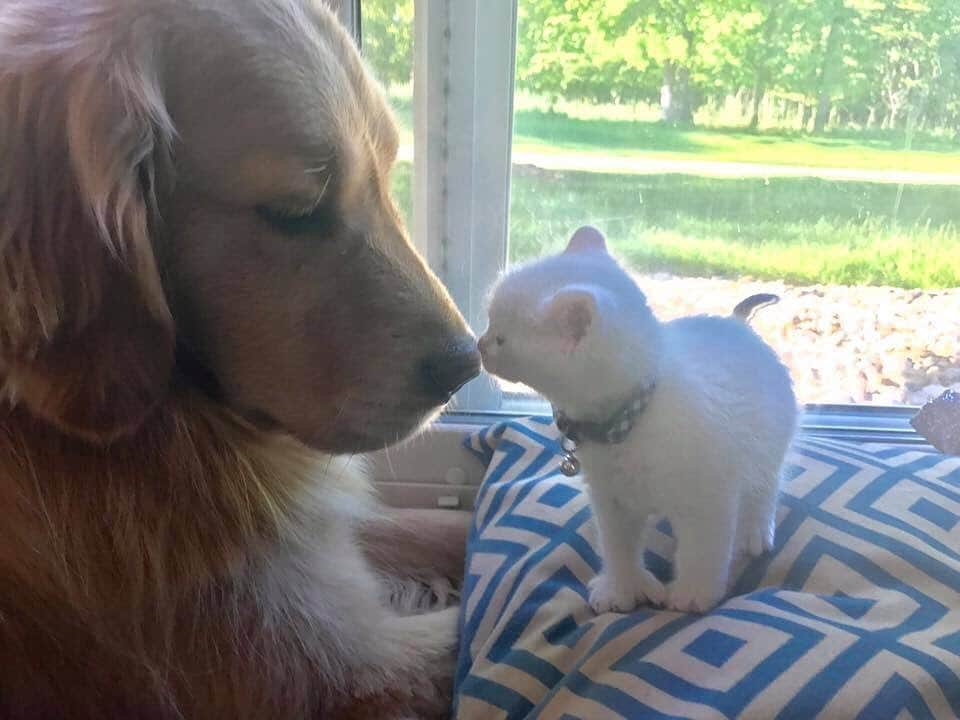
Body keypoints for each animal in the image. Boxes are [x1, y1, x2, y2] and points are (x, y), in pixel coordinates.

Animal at [476, 226, 800, 612]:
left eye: (501, 339)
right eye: (490, 324)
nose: (479, 344)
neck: (628, 425)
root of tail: (735, 323)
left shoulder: (709, 500)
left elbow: (703, 552)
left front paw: (693, 593)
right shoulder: (611, 501)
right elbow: (618, 547)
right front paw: (623, 588)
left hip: (768, 448)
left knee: (766, 487)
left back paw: (755, 531)